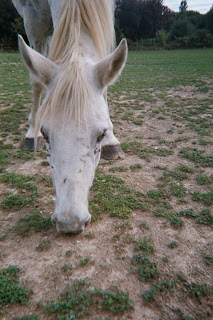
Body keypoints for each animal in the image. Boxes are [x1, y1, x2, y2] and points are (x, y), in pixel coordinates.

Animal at [12, 0, 127, 232]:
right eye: (45, 134)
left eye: (101, 135)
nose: (69, 223)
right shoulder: (31, 16)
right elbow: (36, 80)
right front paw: (32, 132)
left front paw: (112, 142)